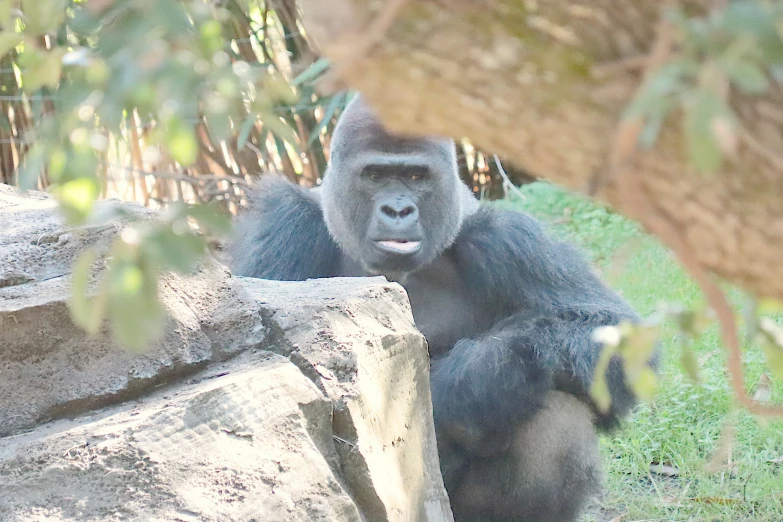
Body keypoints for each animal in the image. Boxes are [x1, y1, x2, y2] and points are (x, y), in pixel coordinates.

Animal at [228, 94, 656, 520]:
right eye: (375, 176)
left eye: (417, 178)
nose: (398, 210)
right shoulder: (287, 225)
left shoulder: (508, 237)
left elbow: (609, 334)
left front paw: (470, 378)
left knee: (558, 406)